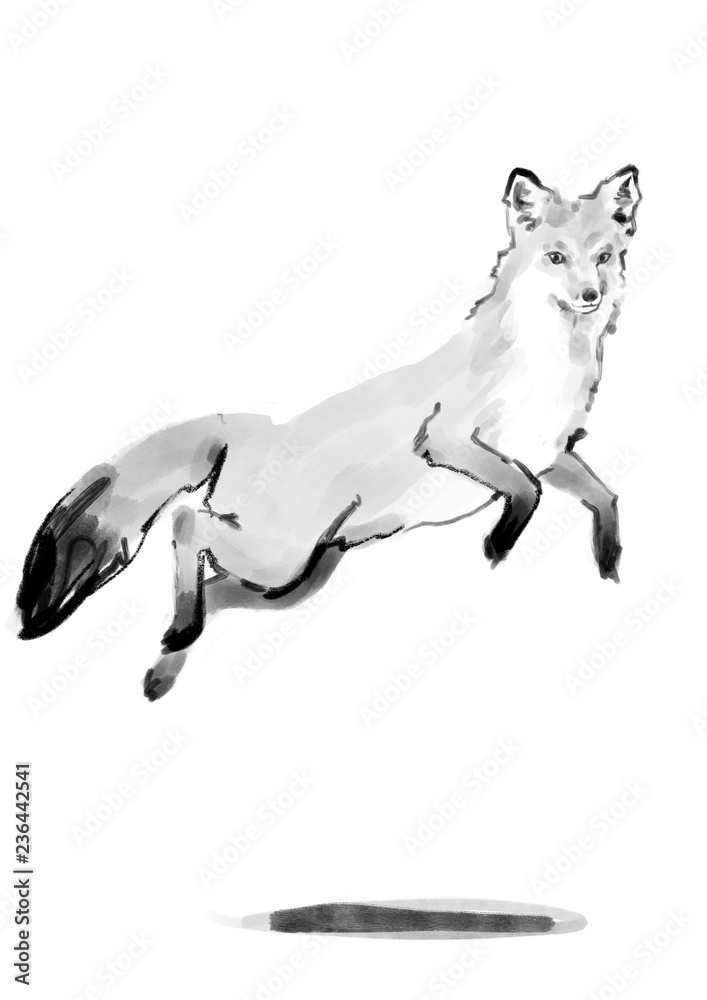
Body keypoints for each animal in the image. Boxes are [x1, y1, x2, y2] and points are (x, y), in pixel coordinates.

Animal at [17, 165, 641, 700]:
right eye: (556, 258)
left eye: (604, 258)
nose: (590, 296)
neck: (547, 371)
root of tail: (252, 427)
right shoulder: (447, 440)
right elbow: (523, 490)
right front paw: (501, 542)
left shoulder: (552, 454)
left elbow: (604, 497)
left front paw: (610, 564)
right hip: (280, 558)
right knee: (187, 521)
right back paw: (178, 633)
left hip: (292, 578)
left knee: (212, 591)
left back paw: (167, 660)